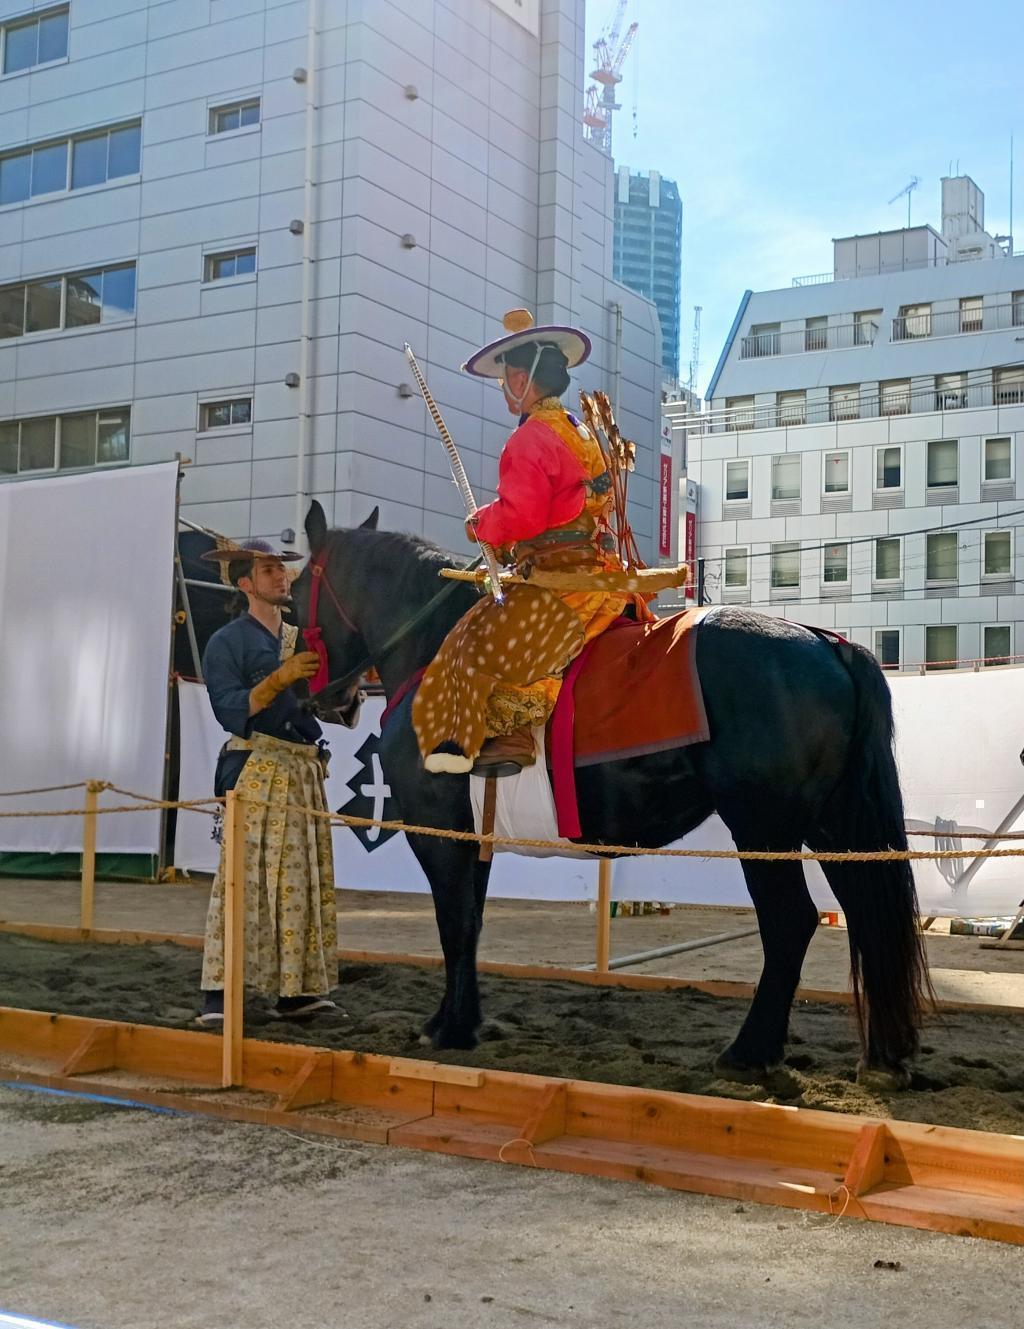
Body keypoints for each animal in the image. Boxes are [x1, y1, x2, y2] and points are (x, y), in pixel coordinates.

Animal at [292, 502, 935, 1084]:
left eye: (295, 596)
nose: (326, 701)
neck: (432, 650)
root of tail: (826, 641)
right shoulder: (473, 835)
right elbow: (469, 921)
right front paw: (459, 1020)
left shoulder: (440, 832)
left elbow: (453, 922)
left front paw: (449, 1027)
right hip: (832, 823)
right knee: (866, 913)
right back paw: (883, 1058)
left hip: (762, 827)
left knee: (791, 922)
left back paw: (750, 1053)